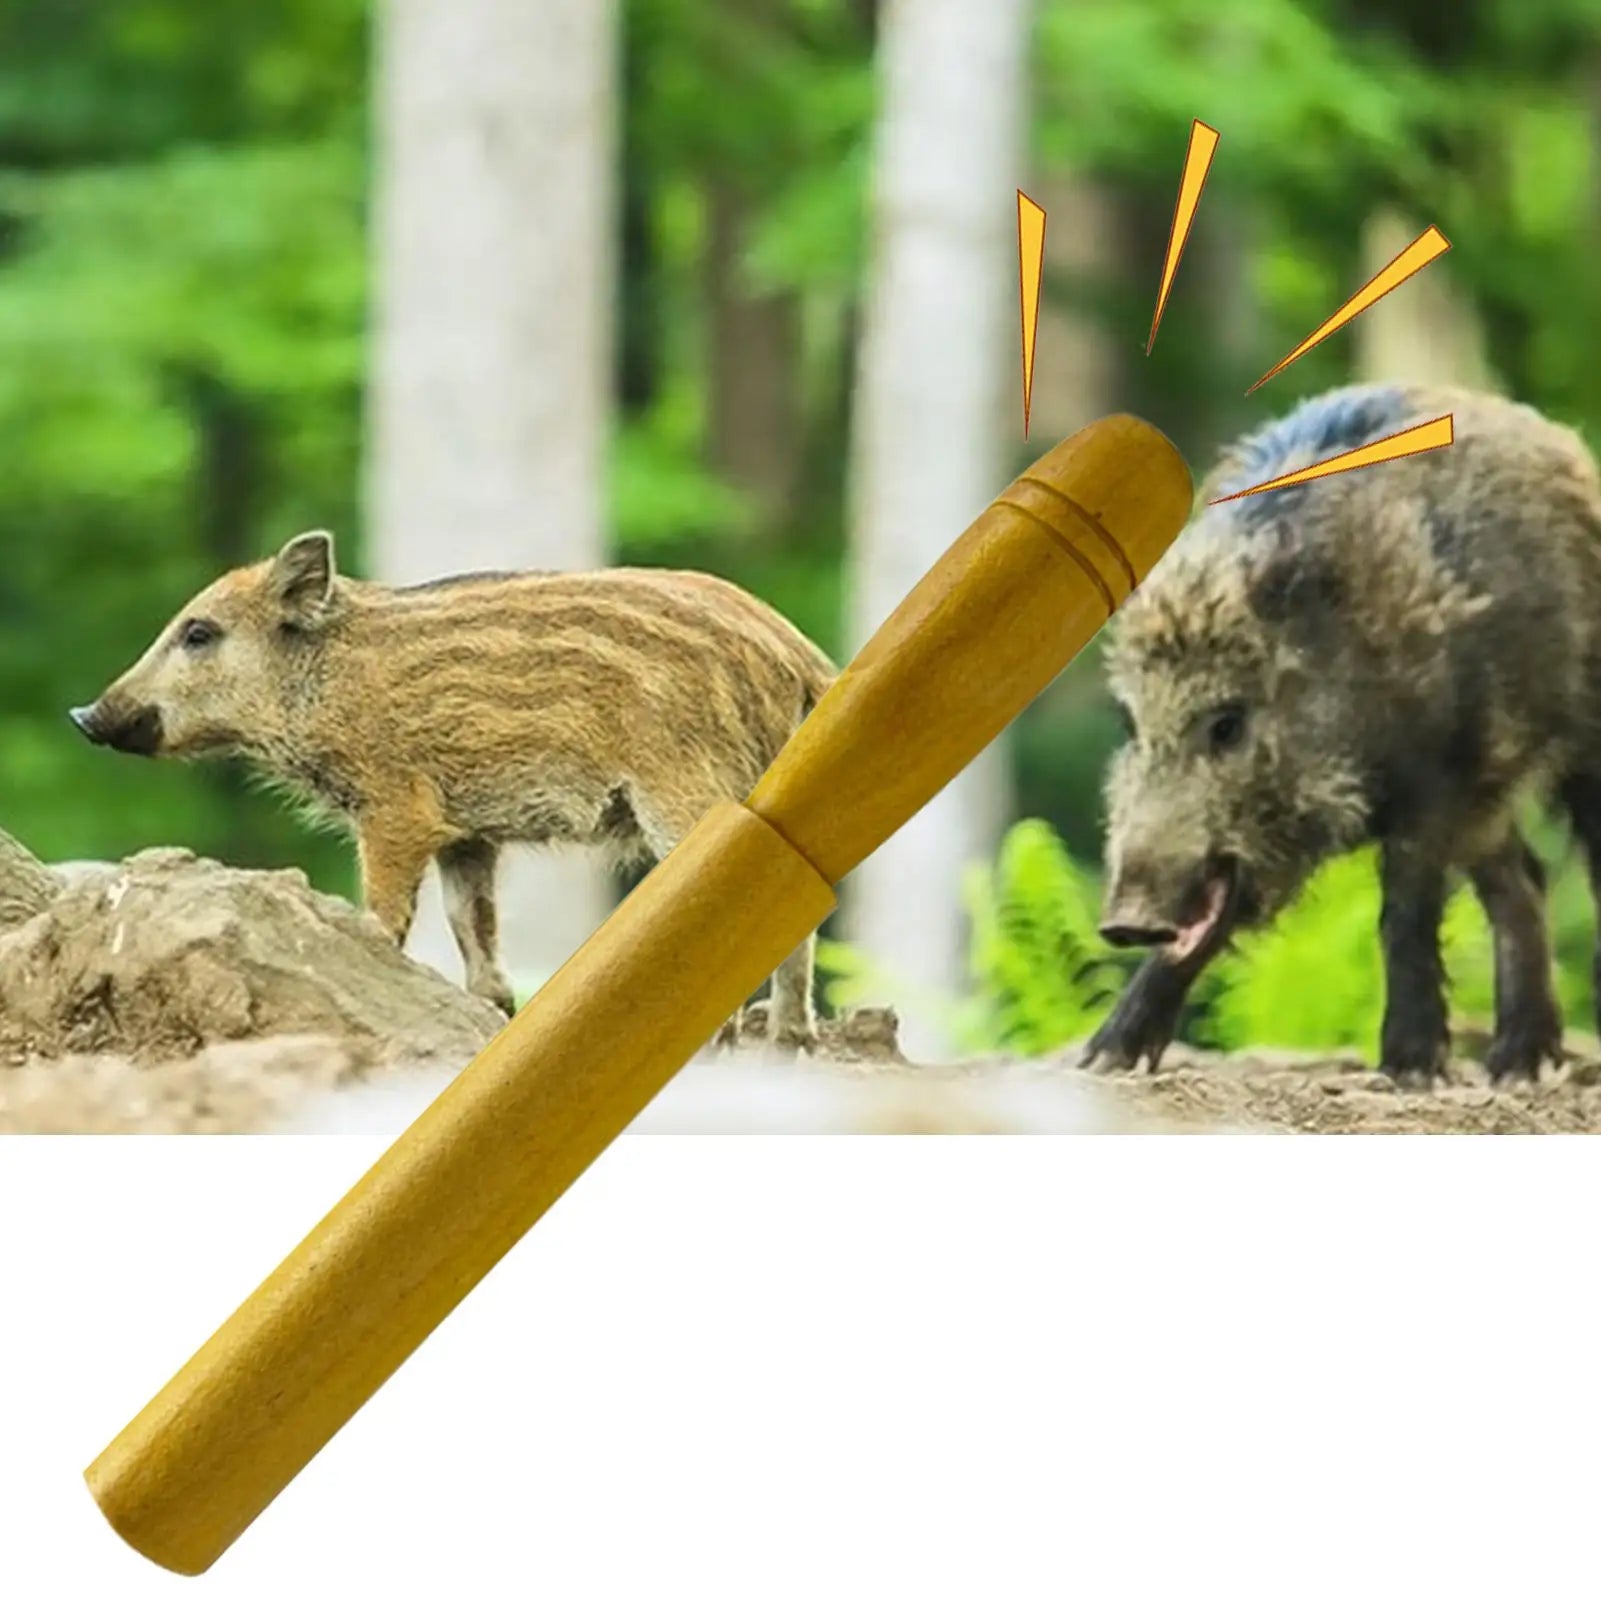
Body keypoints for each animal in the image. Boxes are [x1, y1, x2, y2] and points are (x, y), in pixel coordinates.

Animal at [69, 532, 836, 1046]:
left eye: (199, 632)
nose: (84, 716)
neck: (325, 681)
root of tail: (797, 652)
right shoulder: (467, 834)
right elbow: (475, 933)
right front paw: (493, 1016)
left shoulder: (394, 807)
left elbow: (385, 917)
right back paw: (788, 1044)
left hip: (685, 794)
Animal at [1087, 382, 1601, 1086]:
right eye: (1130, 724)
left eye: (1228, 723)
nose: (1124, 922)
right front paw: (1102, 1060)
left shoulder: (1436, 777)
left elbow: (1404, 914)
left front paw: (1410, 1072)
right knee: (1524, 876)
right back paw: (1515, 1067)